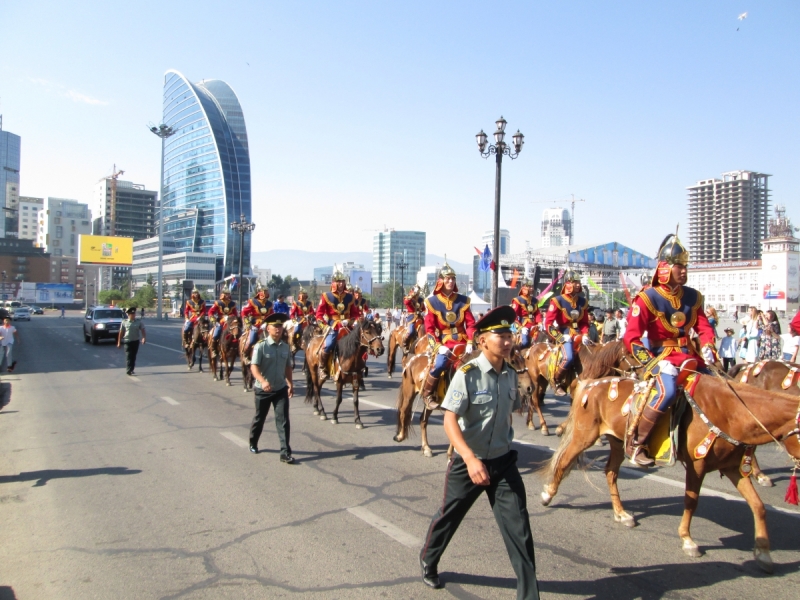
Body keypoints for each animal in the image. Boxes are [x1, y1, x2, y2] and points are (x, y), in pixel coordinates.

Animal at [540, 372, 800, 576]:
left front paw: (764, 553)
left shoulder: (732, 468)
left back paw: (622, 514)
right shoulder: (697, 465)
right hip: (585, 434)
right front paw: (687, 539)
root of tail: (591, 383)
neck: (729, 412)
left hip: (617, 441)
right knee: (564, 461)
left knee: (610, 473)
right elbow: (691, 501)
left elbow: (758, 506)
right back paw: (547, 494)